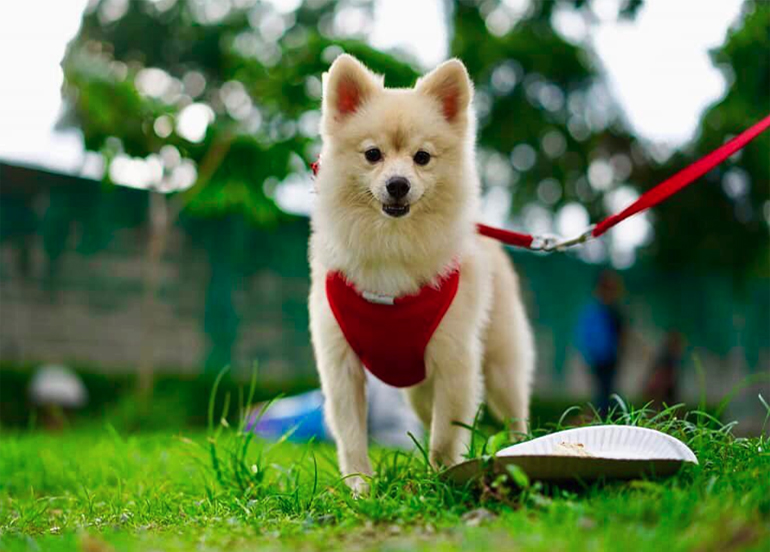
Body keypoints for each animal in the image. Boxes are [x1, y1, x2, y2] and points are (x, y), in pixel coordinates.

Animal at [306, 52, 536, 492]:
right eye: (372, 154)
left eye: (422, 157)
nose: (398, 184)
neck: (393, 246)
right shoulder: (341, 364)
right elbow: (352, 436)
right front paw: (361, 489)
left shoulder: (455, 359)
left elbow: (446, 435)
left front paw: (441, 479)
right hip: (417, 388)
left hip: (500, 366)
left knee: (515, 411)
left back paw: (523, 448)